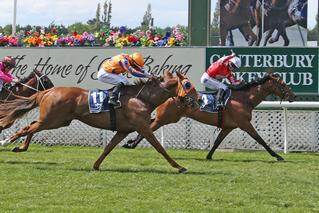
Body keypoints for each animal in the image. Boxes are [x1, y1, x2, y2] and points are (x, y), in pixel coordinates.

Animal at [0, 71, 198, 173]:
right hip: (51, 120)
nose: (197, 99)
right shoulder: (143, 126)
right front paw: (179, 166)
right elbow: (159, 147)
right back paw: (6, 141)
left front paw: (96, 165)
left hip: (58, 121)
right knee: (27, 128)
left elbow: (108, 147)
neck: (142, 98)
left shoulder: (124, 130)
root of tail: (47, 92)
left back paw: (20, 147)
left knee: (31, 126)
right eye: (188, 85)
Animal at [124, 72, 296, 161]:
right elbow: (260, 139)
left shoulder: (228, 127)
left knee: (147, 125)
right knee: (149, 128)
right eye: (282, 84)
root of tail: (168, 95)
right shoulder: (245, 124)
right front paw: (277, 156)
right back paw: (131, 144)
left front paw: (208, 156)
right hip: (165, 118)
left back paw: (130, 142)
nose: (293, 96)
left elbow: (217, 142)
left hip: (169, 118)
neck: (244, 99)